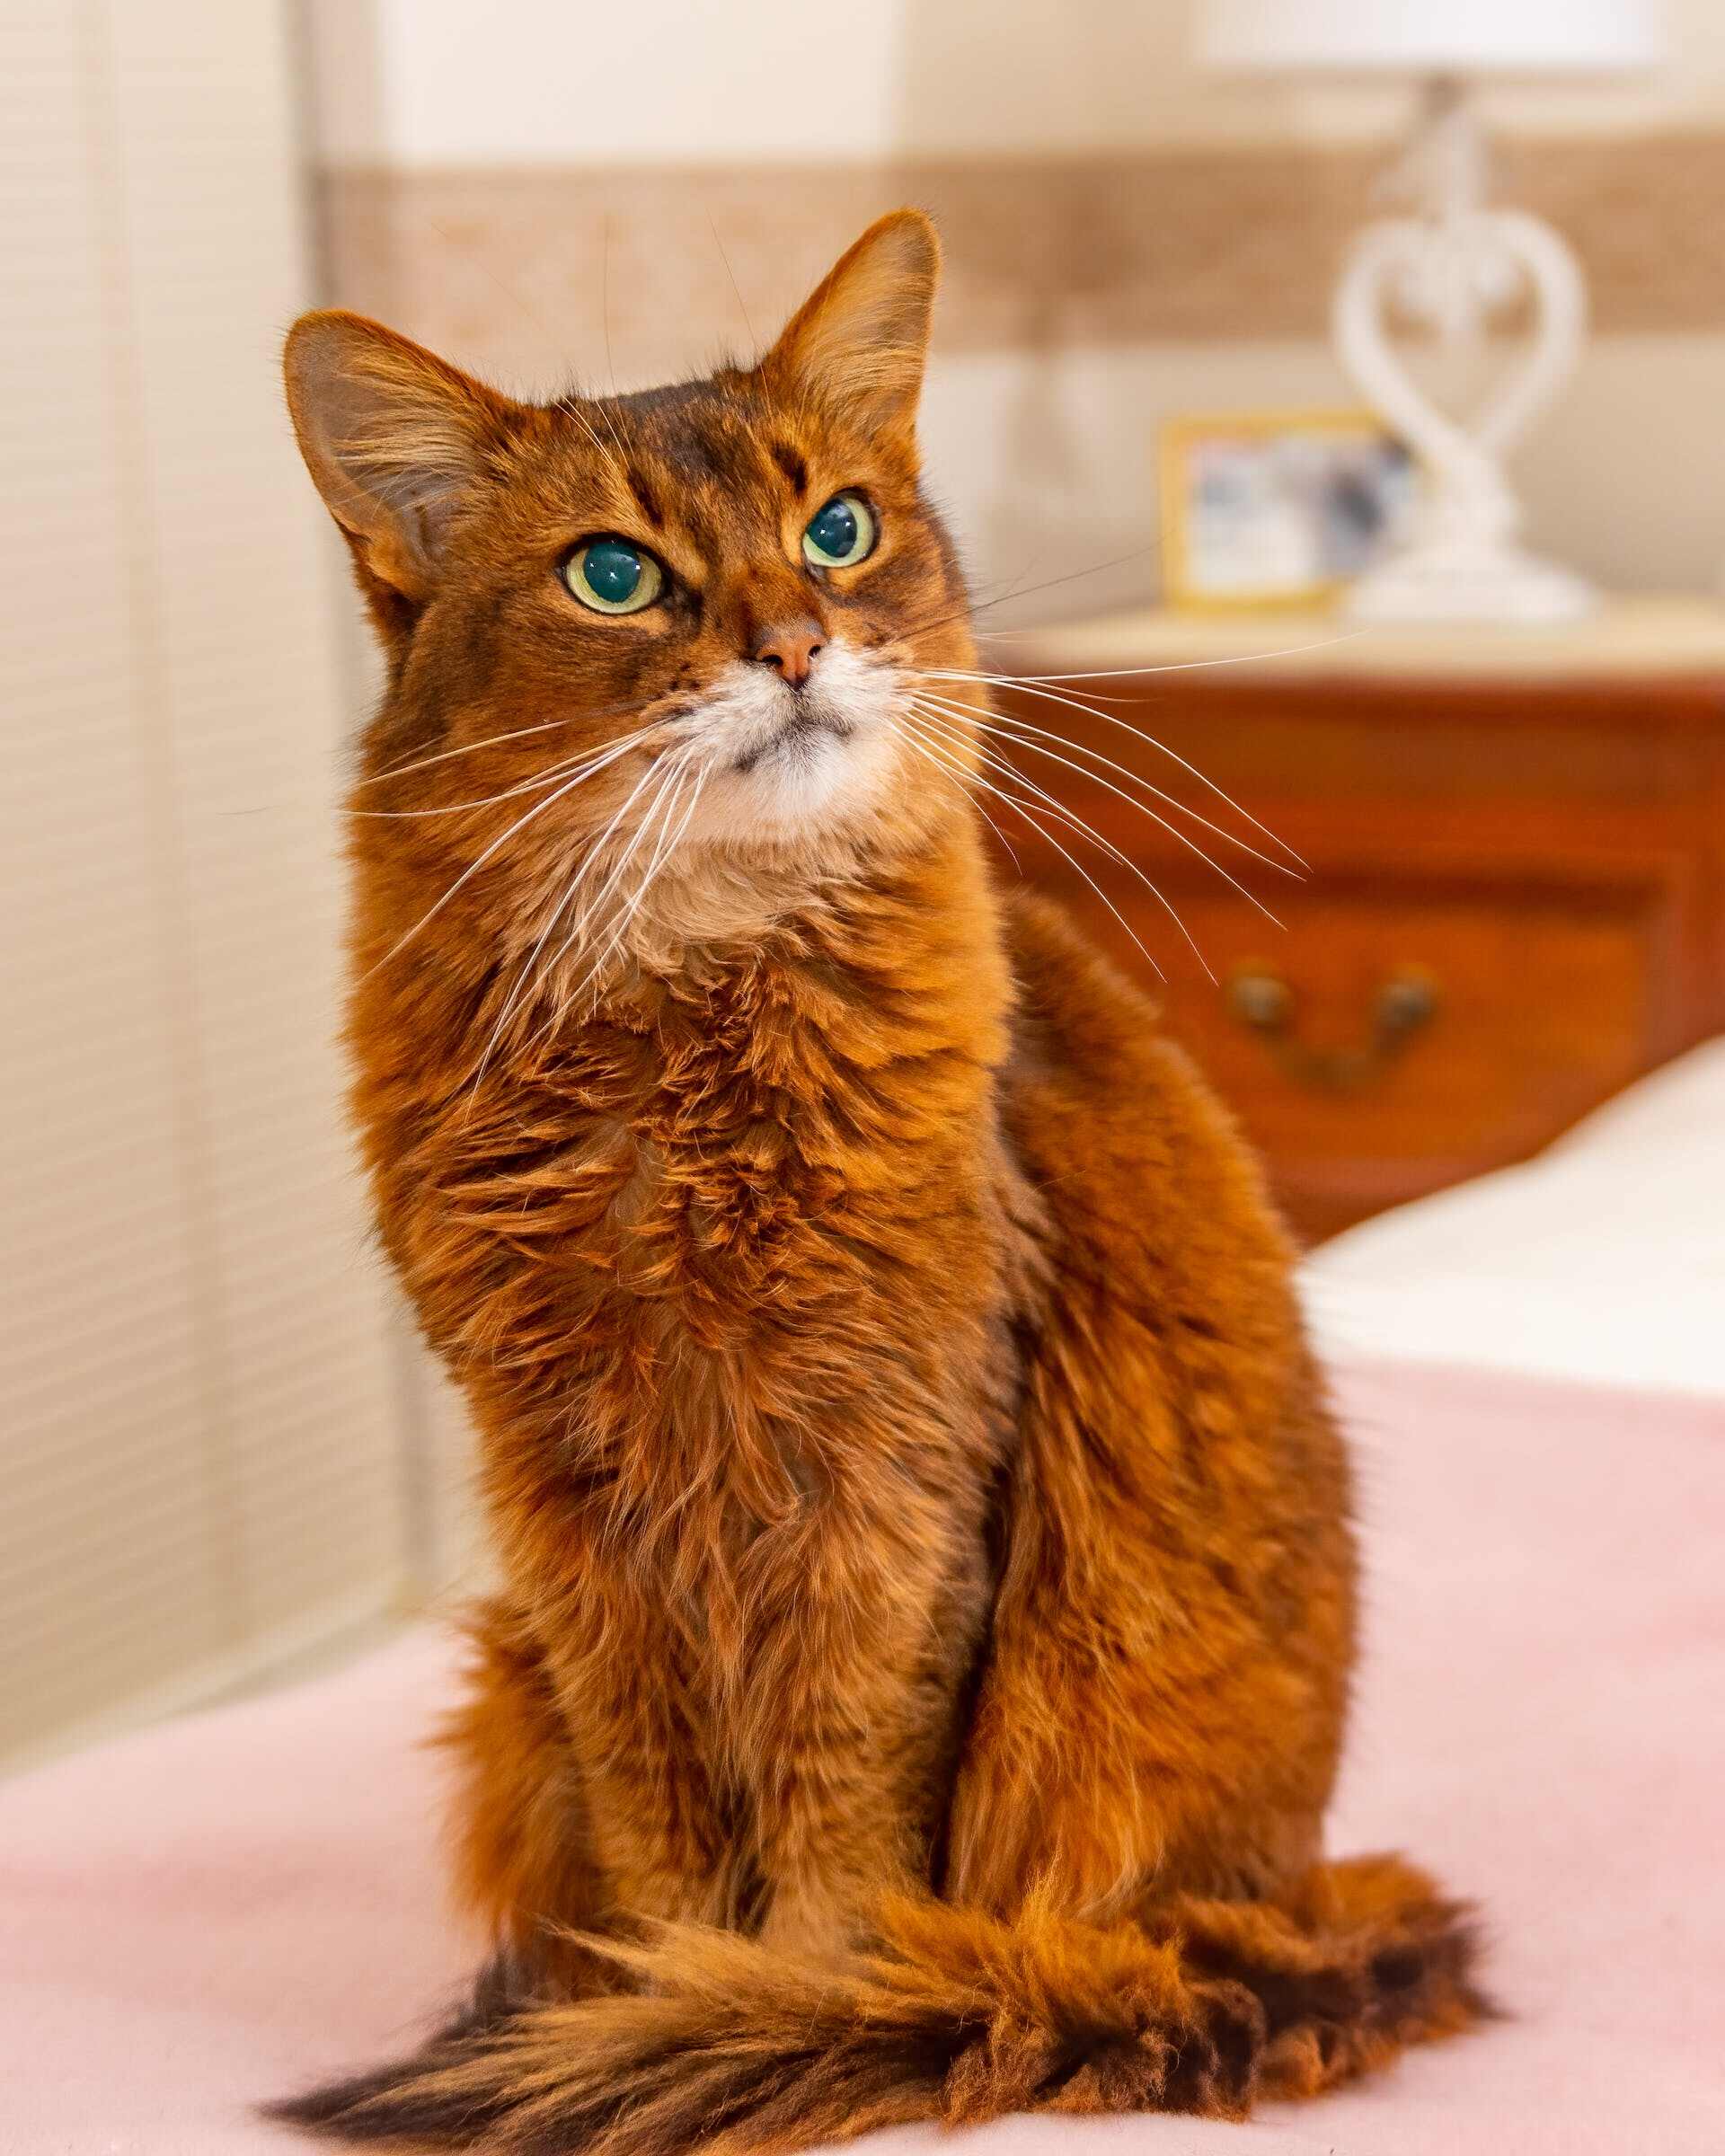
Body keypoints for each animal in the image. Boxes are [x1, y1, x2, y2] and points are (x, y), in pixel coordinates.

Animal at [272, 206, 1483, 2156]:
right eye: (614, 574)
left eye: (838, 529)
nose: (793, 647)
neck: (678, 1039)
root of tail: (1288, 1907)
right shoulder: (566, 1508)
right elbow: (665, 1824)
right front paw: (672, 1986)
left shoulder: (891, 1475)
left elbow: (845, 1807)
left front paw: (792, 2000)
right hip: (501, 1673)